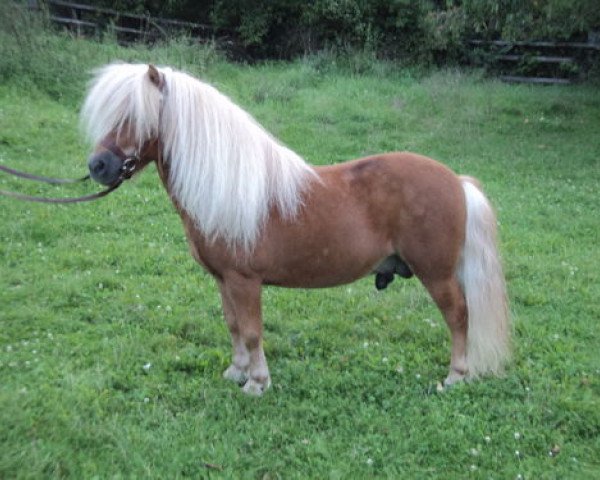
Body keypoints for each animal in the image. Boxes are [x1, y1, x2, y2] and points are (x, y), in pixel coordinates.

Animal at [81, 62, 510, 394]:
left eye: (135, 116)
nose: (98, 166)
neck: (230, 186)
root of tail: (456, 180)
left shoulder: (244, 281)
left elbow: (252, 331)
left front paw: (257, 383)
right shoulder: (223, 279)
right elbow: (233, 325)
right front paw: (236, 372)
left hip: (436, 274)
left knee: (459, 315)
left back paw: (455, 376)